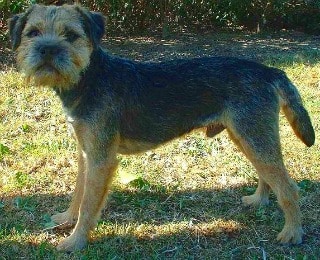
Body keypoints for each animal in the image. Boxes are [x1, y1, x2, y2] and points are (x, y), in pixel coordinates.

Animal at [8, 4, 316, 252]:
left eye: (71, 35)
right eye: (33, 32)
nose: (47, 49)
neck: (90, 77)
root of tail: (268, 71)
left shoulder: (101, 159)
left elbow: (89, 204)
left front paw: (75, 241)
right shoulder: (87, 152)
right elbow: (79, 192)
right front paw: (67, 218)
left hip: (254, 136)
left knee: (289, 187)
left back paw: (292, 233)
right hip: (247, 136)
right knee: (268, 175)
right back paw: (259, 200)